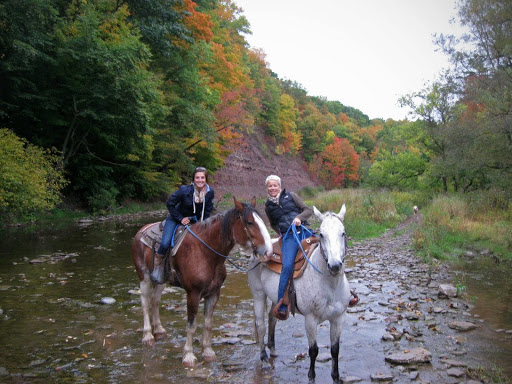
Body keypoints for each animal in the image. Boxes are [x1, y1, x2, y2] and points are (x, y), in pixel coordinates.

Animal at [134, 198, 274, 366]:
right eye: (250, 222)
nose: (269, 252)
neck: (205, 252)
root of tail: (141, 230)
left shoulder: (214, 293)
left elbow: (208, 323)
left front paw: (208, 352)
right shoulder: (193, 294)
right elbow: (191, 325)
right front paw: (188, 356)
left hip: (161, 280)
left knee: (155, 300)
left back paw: (159, 330)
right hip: (144, 276)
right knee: (145, 302)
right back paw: (148, 336)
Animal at [247, 206, 352, 382]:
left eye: (343, 233)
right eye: (321, 235)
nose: (335, 266)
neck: (330, 286)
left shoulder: (339, 318)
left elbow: (335, 350)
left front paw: (336, 377)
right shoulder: (310, 319)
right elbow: (313, 350)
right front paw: (311, 377)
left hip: (276, 298)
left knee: (272, 318)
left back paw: (273, 349)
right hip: (258, 295)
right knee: (260, 325)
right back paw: (264, 358)